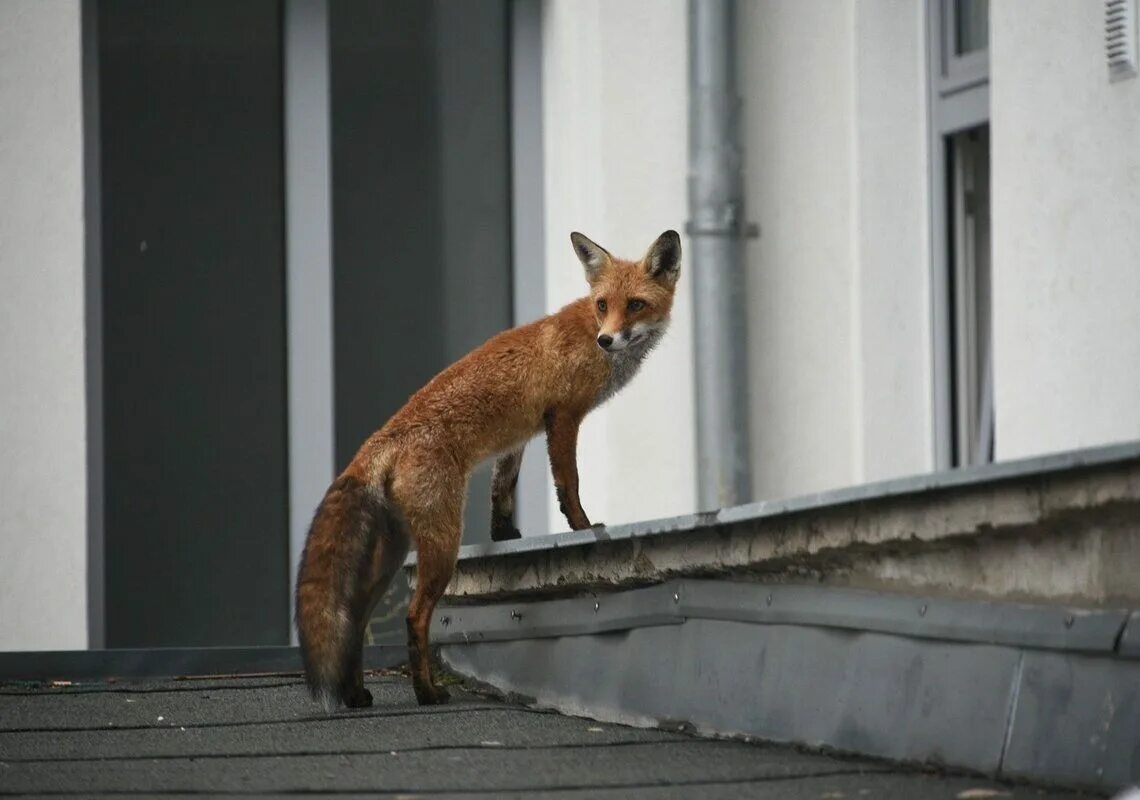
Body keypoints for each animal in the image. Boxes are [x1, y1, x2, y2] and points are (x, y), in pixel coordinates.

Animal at [298, 230, 679, 706]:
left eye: (635, 305)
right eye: (603, 304)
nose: (606, 340)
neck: (588, 334)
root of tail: (378, 442)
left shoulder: (519, 437)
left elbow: (502, 488)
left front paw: (505, 535)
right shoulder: (564, 416)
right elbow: (568, 484)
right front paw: (582, 527)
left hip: (391, 555)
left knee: (356, 617)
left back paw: (356, 695)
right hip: (442, 545)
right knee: (415, 616)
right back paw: (427, 692)